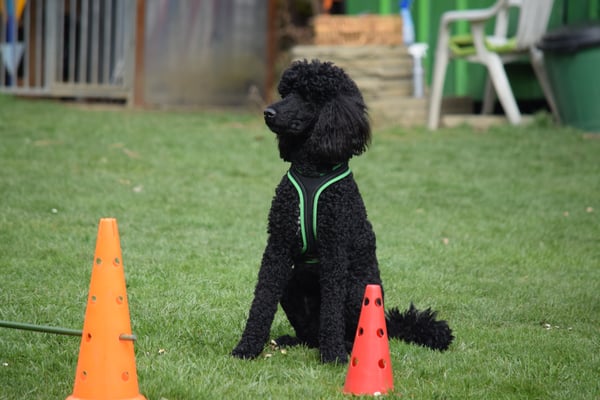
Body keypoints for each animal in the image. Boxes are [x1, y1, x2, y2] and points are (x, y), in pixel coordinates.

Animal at [232, 60, 453, 363]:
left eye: (308, 96)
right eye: (286, 92)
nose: (268, 112)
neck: (312, 171)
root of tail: (388, 321)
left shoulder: (334, 249)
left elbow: (332, 309)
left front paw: (334, 355)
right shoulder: (277, 245)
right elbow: (262, 299)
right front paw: (247, 347)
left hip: (357, 291)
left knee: (349, 327)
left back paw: (345, 346)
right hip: (290, 286)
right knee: (309, 333)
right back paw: (293, 340)